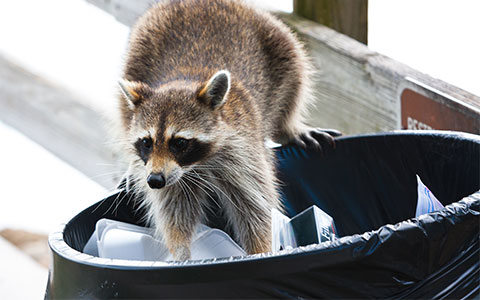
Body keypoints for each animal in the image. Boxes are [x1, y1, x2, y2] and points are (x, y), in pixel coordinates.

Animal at [116, 0, 338, 260]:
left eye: (179, 142)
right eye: (146, 142)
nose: (154, 180)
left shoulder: (244, 152)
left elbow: (256, 207)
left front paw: (261, 250)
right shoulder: (168, 173)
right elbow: (173, 211)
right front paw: (181, 252)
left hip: (279, 42)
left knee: (295, 78)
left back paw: (288, 127)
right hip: (137, 54)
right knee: (123, 110)